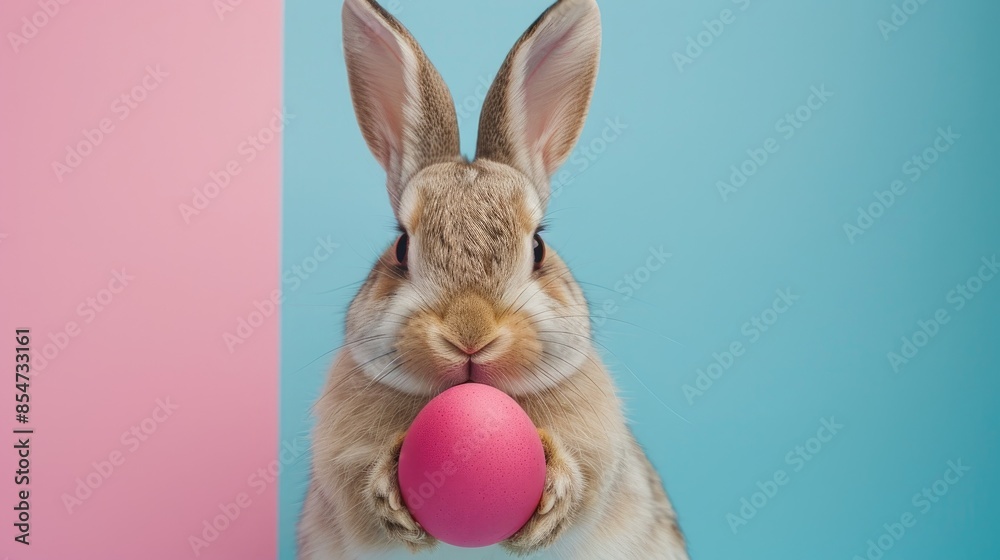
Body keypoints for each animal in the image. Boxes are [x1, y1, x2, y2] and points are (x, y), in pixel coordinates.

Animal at [297, 0, 690, 559]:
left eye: (538, 247)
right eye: (401, 248)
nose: (470, 332)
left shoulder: (601, 456)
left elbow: (584, 483)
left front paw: (552, 495)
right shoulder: (339, 461)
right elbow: (357, 484)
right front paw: (390, 491)